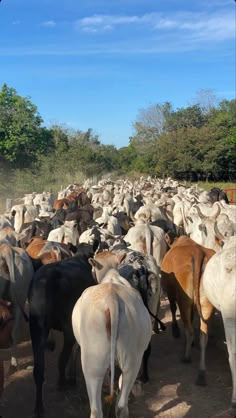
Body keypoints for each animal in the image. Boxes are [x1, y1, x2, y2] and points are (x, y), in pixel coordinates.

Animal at [28, 240, 98, 416]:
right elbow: (76, 350)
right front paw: (72, 377)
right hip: (68, 326)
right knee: (62, 357)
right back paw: (62, 382)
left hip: (37, 327)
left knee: (38, 369)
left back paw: (39, 407)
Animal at [161, 237, 215, 386]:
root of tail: (198, 251)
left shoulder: (171, 293)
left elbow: (173, 308)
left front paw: (175, 330)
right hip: (206, 303)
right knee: (203, 335)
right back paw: (201, 373)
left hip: (184, 300)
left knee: (190, 330)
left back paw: (186, 356)